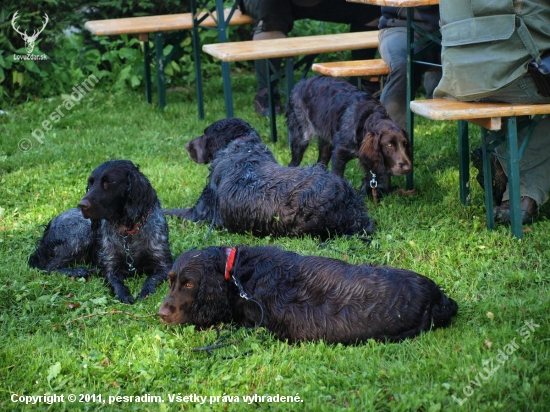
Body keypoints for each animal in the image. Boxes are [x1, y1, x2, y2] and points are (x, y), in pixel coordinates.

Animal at [28, 159, 174, 304]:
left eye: (109, 182)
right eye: (90, 183)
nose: (82, 205)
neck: (129, 232)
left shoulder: (164, 265)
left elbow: (151, 280)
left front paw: (145, 293)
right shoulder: (110, 266)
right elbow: (116, 283)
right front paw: (124, 295)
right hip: (82, 234)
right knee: (49, 267)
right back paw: (78, 271)